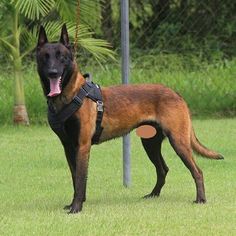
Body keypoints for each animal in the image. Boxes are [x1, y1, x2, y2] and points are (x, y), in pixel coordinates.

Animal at [36, 25, 223, 214]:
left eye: (62, 57)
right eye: (46, 57)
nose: (53, 73)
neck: (70, 95)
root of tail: (176, 93)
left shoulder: (82, 146)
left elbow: (81, 179)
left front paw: (76, 207)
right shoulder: (69, 147)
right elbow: (75, 178)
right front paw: (75, 203)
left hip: (178, 142)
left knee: (197, 171)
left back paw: (200, 199)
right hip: (150, 143)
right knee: (163, 169)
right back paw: (153, 194)